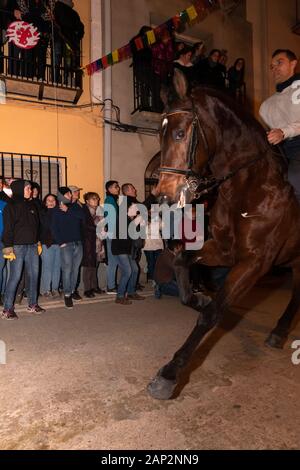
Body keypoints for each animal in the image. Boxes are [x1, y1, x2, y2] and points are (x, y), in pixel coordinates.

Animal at [146, 70, 300, 400]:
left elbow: (211, 314)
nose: (163, 196)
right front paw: (199, 296)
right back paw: (279, 331)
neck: (249, 187)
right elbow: (181, 267)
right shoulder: (222, 249)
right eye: (158, 136)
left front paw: (169, 374)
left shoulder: (254, 263)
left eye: (180, 134)